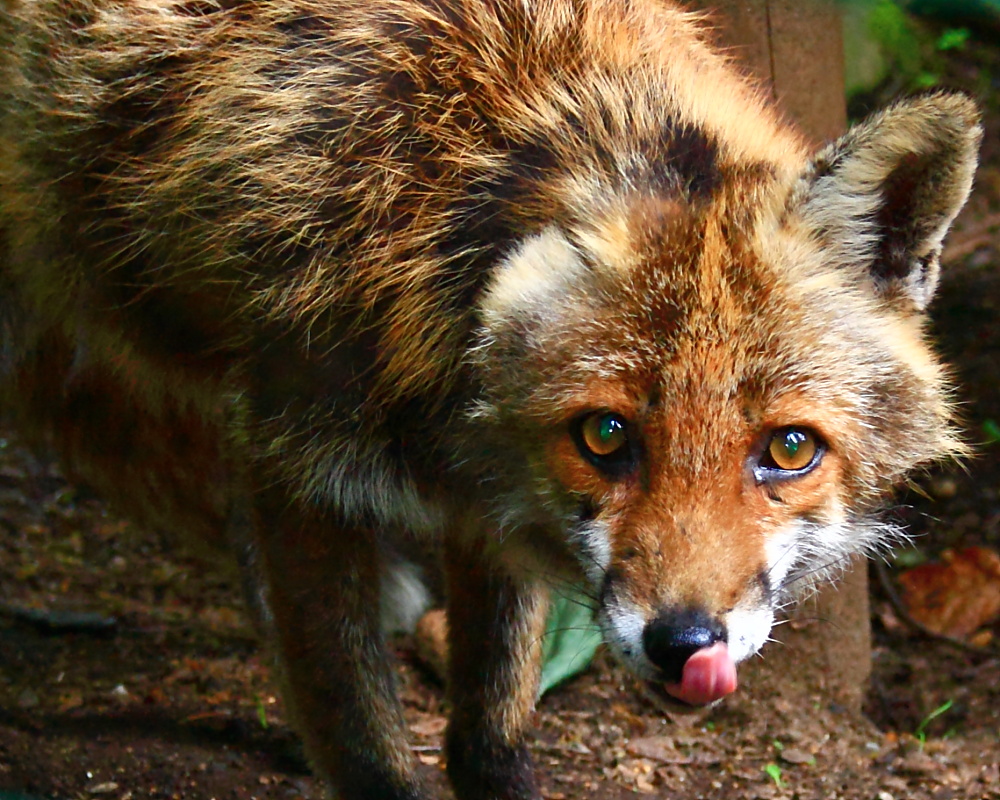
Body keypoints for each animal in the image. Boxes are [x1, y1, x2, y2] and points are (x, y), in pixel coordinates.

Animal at [0, 0, 980, 796]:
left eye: (788, 449)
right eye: (604, 434)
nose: (685, 645)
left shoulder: (489, 510)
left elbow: (493, 726)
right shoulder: (296, 467)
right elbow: (362, 735)